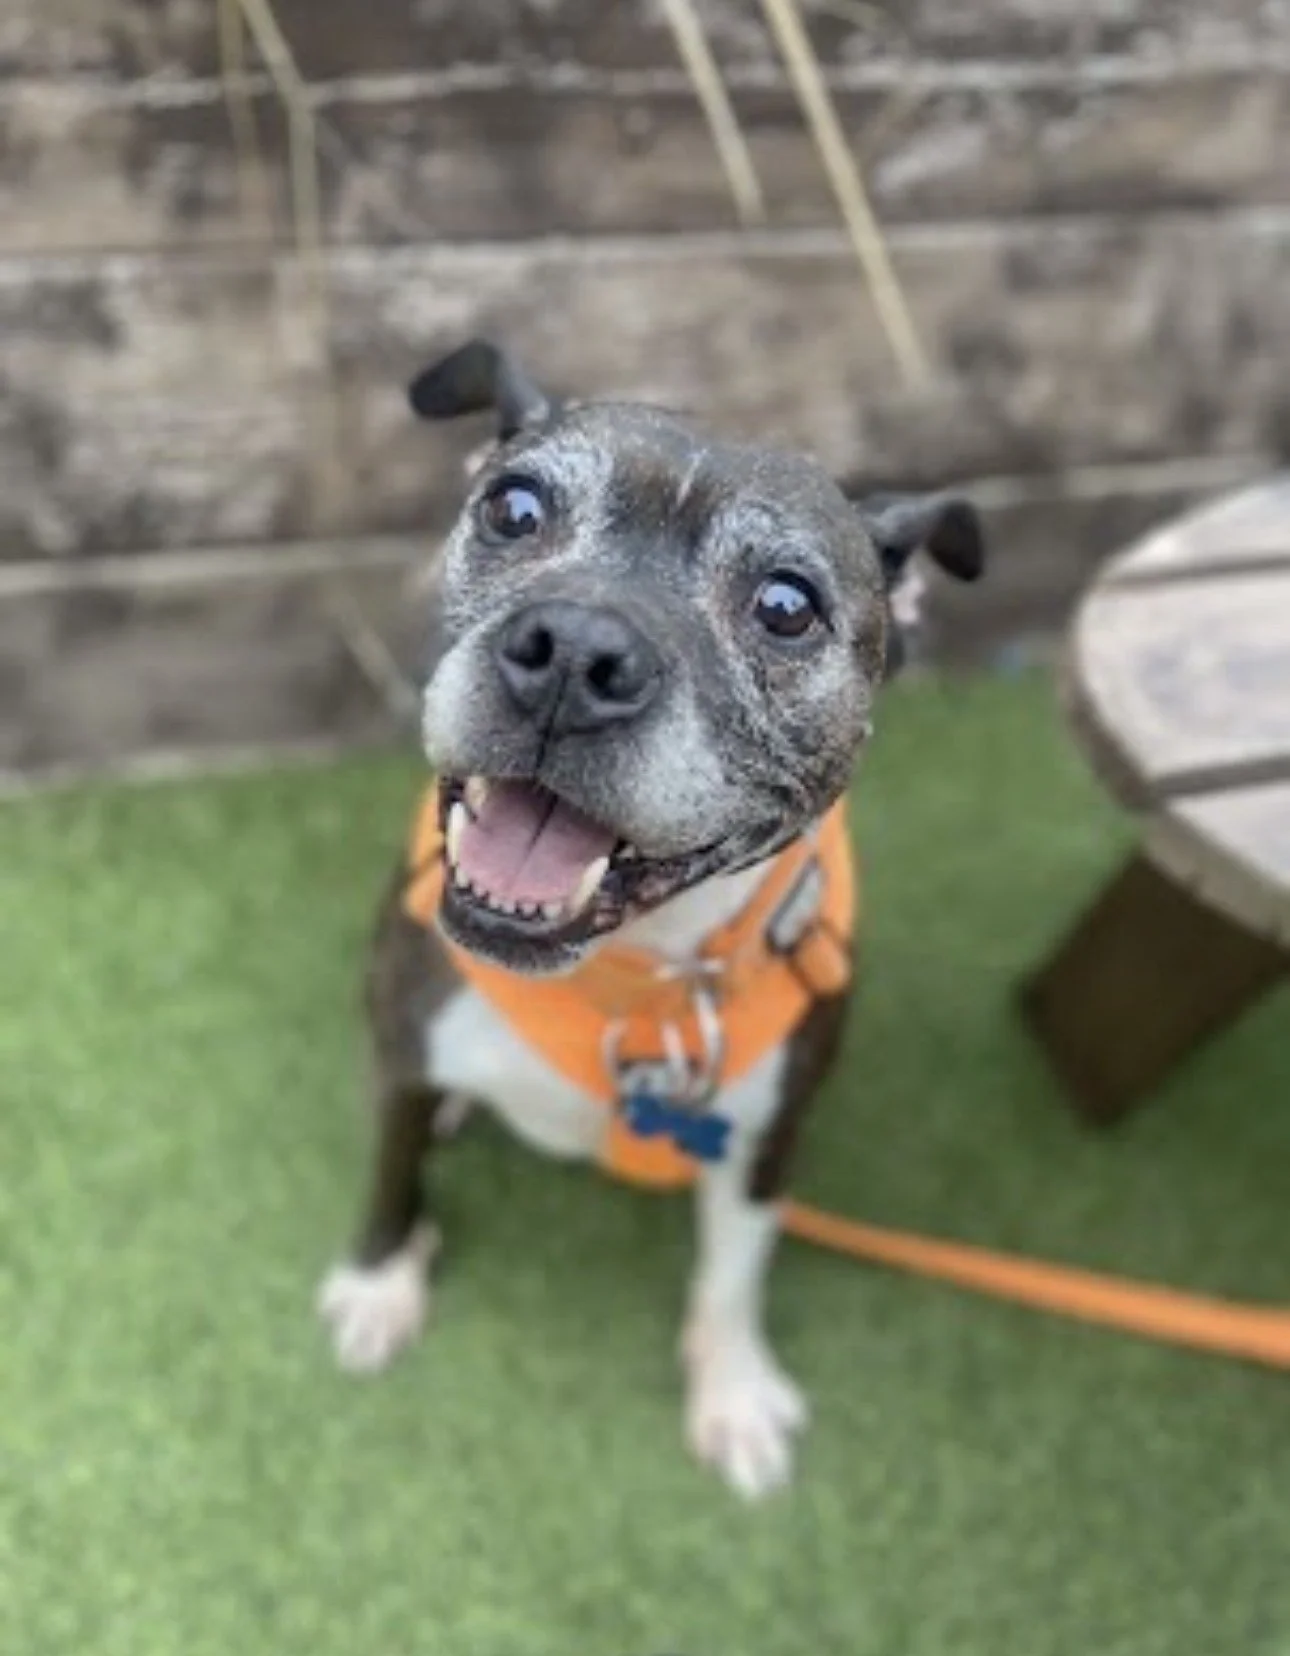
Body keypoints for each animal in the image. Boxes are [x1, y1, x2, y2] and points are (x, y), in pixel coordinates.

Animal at [318, 339, 984, 1498]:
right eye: (515, 509)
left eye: (786, 605)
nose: (573, 651)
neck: (629, 975)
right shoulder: (403, 1049)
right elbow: (392, 1172)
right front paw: (380, 1282)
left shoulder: (766, 1139)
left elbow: (732, 1272)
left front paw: (732, 1388)